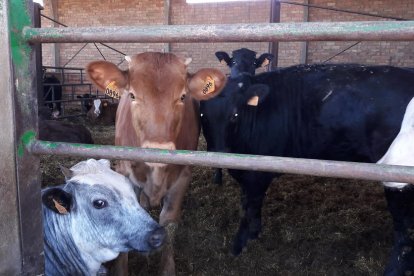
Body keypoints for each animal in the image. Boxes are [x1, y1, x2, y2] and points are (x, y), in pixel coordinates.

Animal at [85, 52, 225, 276]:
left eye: (183, 96)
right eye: (132, 95)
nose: (158, 147)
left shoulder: (182, 177)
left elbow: (169, 222)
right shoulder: (124, 172)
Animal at [201, 63, 414, 274]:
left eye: (234, 115)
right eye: (202, 114)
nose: (219, 154)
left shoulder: (257, 174)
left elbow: (249, 206)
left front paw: (241, 244)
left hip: (398, 178)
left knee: (404, 228)